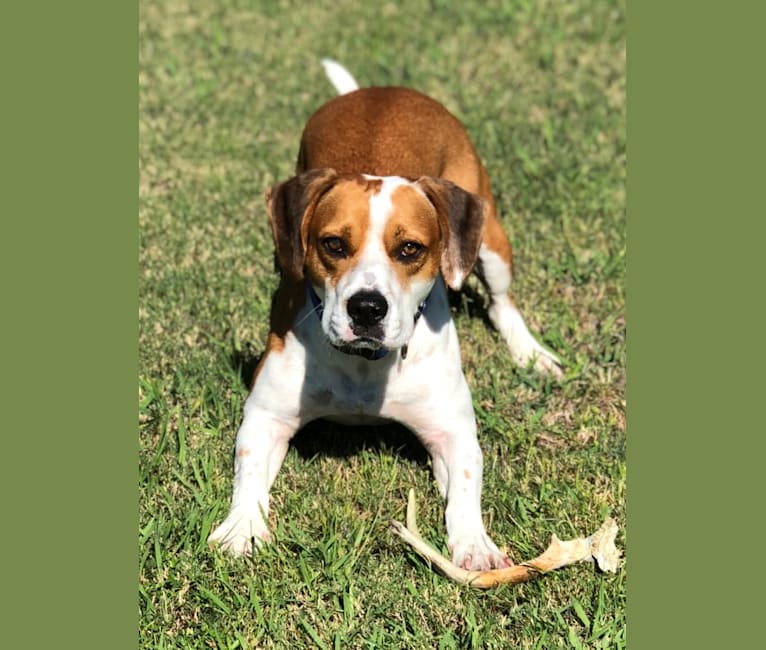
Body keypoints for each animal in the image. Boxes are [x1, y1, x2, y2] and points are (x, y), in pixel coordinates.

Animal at [210, 60, 564, 568]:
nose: (367, 307)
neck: (365, 365)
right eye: (333, 244)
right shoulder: (266, 415)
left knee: (502, 302)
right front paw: (241, 528)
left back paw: (531, 355)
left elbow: (466, 484)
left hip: (489, 238)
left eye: (410, 249)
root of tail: (380, 91)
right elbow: (249, 473)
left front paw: (475, 545)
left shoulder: (452, 429)